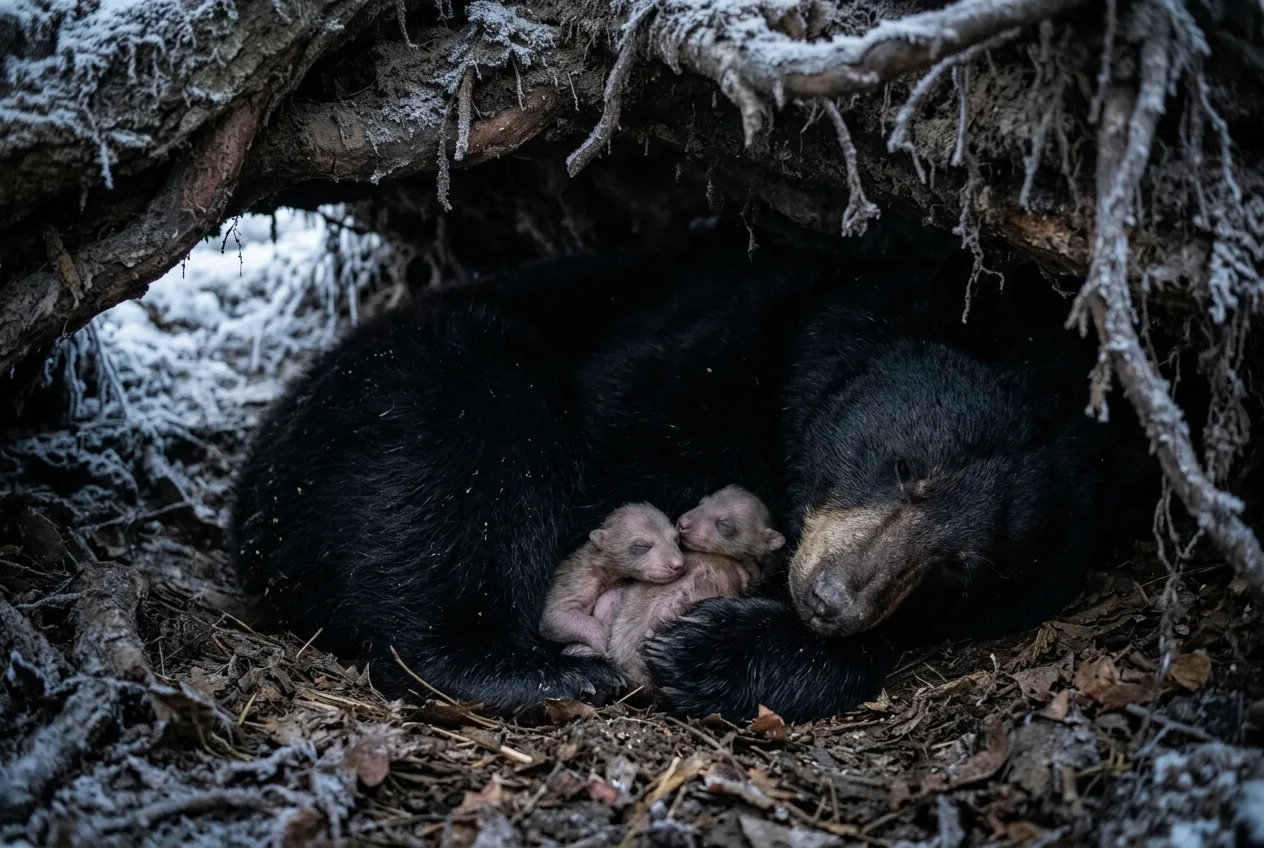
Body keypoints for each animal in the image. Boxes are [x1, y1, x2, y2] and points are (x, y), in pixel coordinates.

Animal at [229, 234, 1156, 720]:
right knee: (454, 477)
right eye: (905, 468)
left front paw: (714, 649)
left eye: (964, 567)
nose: (830, 599)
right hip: (412, 389)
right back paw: (538, 668)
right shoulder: (694, 360)